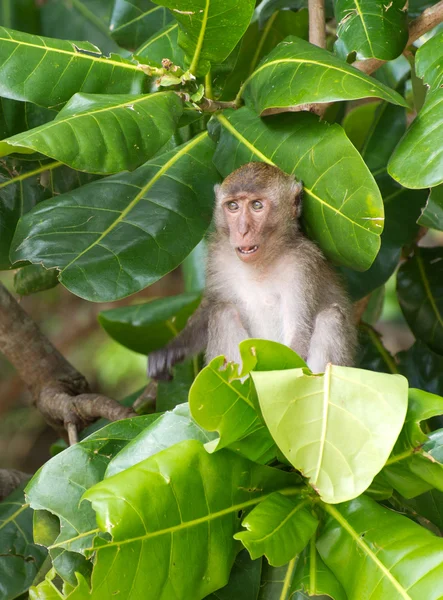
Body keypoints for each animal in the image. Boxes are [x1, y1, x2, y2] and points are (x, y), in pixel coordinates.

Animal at [148, 161, 358, 380]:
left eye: (257, 205)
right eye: (233, 206)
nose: (242, 230)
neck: (261, 263)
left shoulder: (302, 266)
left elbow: (299, 333)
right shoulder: (218, 257)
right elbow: (210, 306)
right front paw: (170, 351)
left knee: (330, 318)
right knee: (222, 312)